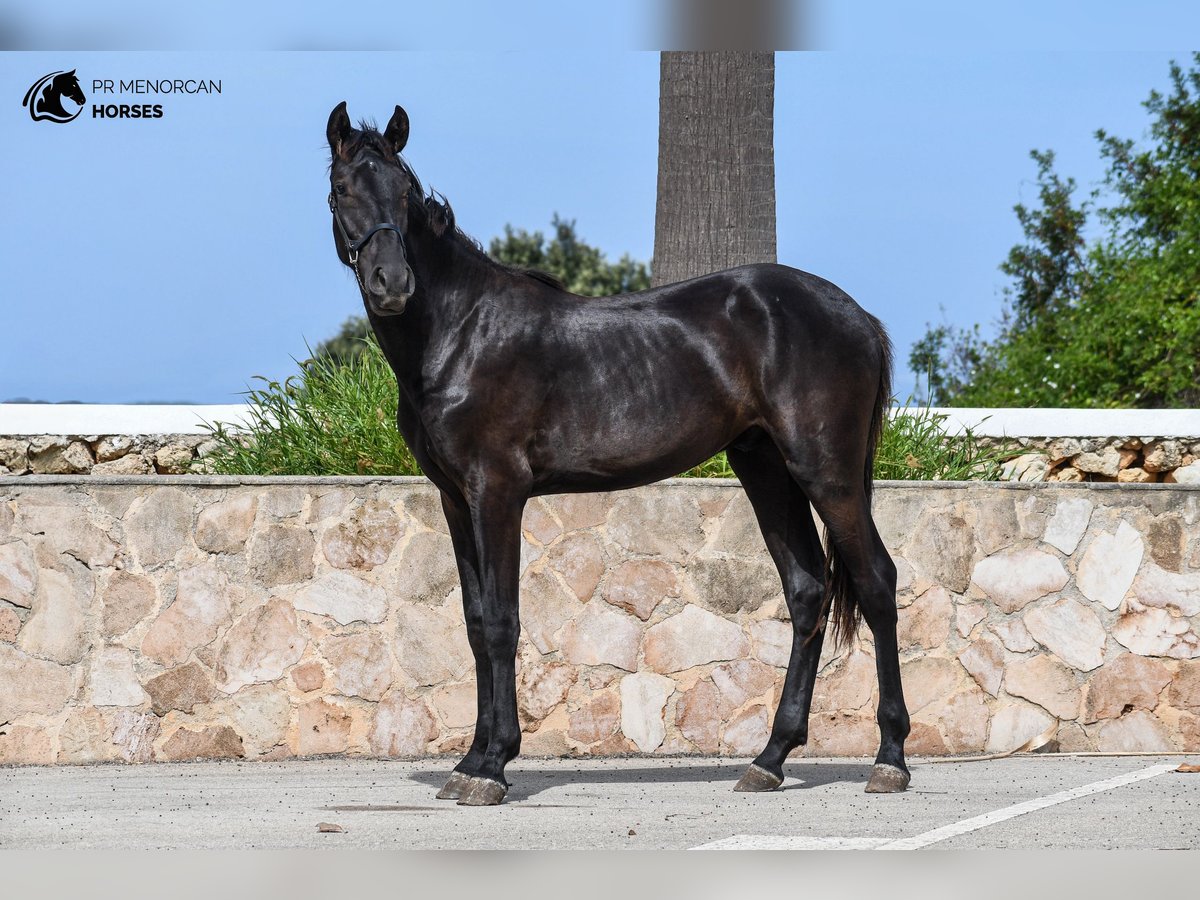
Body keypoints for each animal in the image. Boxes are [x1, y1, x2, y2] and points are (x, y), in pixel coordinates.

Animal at [328, 102, 907, 806]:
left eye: (403, 194)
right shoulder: (454, 499)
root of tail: (859, 318)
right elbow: (474, 622)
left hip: (828, 473)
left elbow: (502, 622)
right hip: (766, 468)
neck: (460, 332)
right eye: (342, 189)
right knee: (806, 590)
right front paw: (468, 762)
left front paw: (493, 767)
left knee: (876, 582)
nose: (392, 283)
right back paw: (769, 759)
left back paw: (890, 758)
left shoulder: (498, 492)